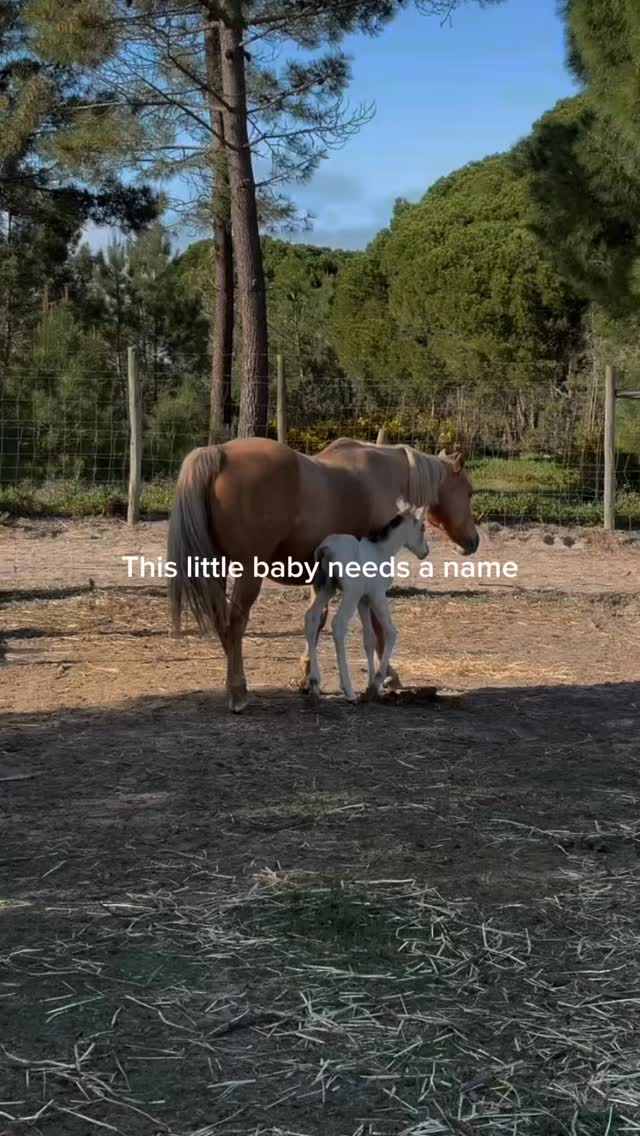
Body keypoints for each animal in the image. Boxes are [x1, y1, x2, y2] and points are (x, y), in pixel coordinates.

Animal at [167, 436, 479, 712]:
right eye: (469, 492)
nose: (473, 542)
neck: (386, 474)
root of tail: (219, 452)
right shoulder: (370, 587)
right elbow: (377, 629)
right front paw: (387, 676)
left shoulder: (322, 581)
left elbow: (317, 621)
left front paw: (307, 677)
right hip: (247, 572)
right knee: (235, 623)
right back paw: (238, 692)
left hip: (216, 567)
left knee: (222, 621)